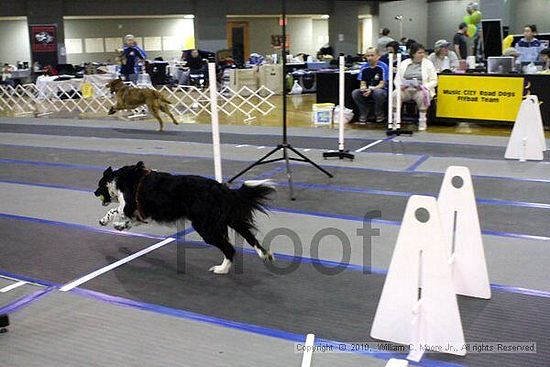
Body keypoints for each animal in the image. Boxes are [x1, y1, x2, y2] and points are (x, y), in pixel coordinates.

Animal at [95, 162, 278, 274]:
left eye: (98, 185)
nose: (95, 193)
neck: (120, 178)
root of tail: (221, 189)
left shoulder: (128, 205)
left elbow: (114, 210)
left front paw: (105, 220)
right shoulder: (141, 213)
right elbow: (130, 220)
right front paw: (120, 226)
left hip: (206, 228)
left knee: (229, 248)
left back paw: (222, 269)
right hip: (228, 220)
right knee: (250, 237)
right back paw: (265, 255)